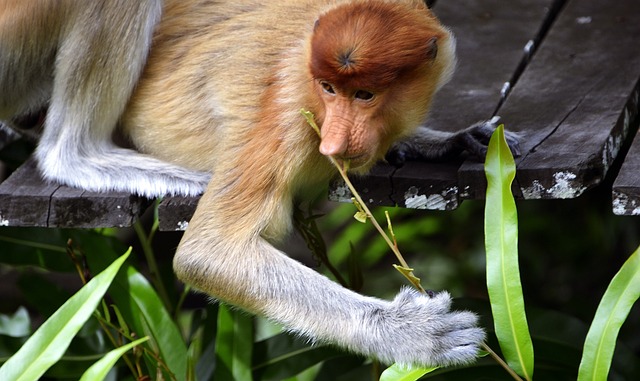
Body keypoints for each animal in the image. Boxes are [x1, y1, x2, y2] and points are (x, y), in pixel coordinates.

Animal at [1, 0, 524, 368]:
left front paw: (452, 140)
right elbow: (210, 253)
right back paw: (82, 156)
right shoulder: (289, 110)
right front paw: (411, 334)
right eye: (328, 90)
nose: (334, 143)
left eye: (365, 94)